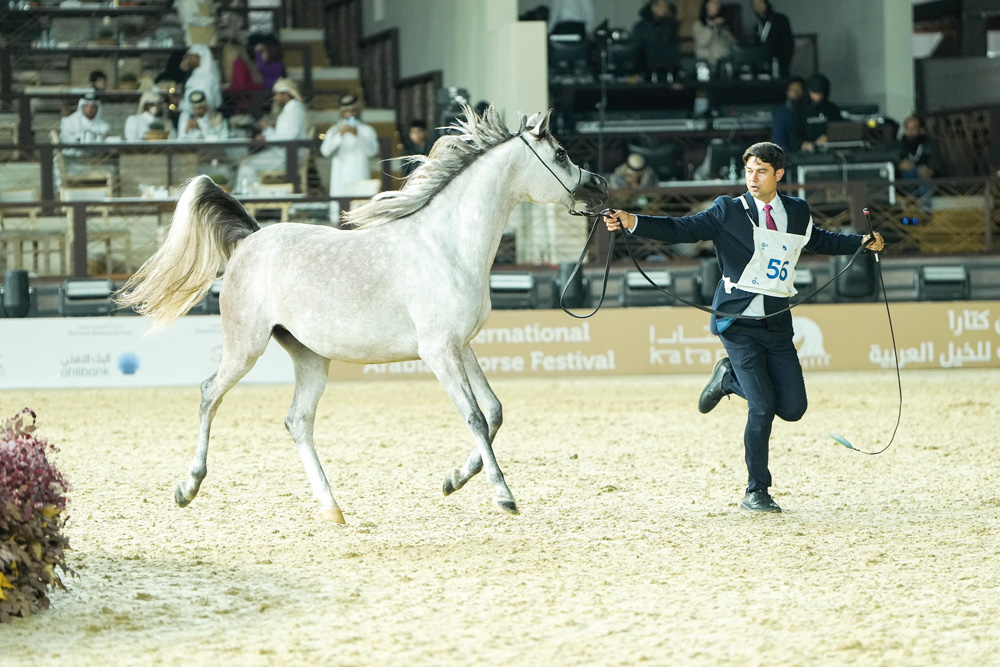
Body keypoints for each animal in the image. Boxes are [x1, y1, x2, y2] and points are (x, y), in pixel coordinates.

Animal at [116, 106, 608, 523]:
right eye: (561, 154)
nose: (600, 186)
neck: (447, 244)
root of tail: (250, 239)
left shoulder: (461, 347)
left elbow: (493, 412)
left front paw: (452, 480)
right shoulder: (439, 351)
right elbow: (474, 417)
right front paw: (502, 494)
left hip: (310, 357)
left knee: (298, 421)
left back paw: (331, 508)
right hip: (245, 348)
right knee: (208, 395)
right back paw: (188, 487)